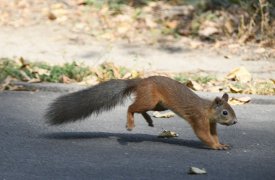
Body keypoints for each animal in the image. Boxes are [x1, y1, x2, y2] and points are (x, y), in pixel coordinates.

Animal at [45, 75, 237, 150]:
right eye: (225, 113)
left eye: (231, 111)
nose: (235, 122)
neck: (207, 109)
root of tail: (140, 81)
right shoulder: (198, 119)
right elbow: (203, 135)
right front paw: (216, 146)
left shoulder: (211, 123)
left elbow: (213, 134)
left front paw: (221, 143)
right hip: (151, 99)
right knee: (131, 107)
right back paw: (130, 123)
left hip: (159, 105)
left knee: (141, 109)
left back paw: (148, 120)